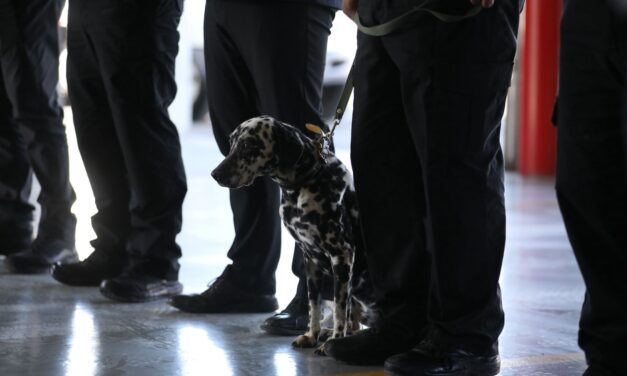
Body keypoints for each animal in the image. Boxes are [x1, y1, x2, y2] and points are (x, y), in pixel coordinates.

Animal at [211, 116, 372, 354]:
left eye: (248, 144)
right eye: (231, 141)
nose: (216, 174)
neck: (306, 182)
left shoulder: (342, 255)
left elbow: (340, 310)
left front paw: (334, 342)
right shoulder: (311, 260)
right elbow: (314, 305)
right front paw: (312, 335)